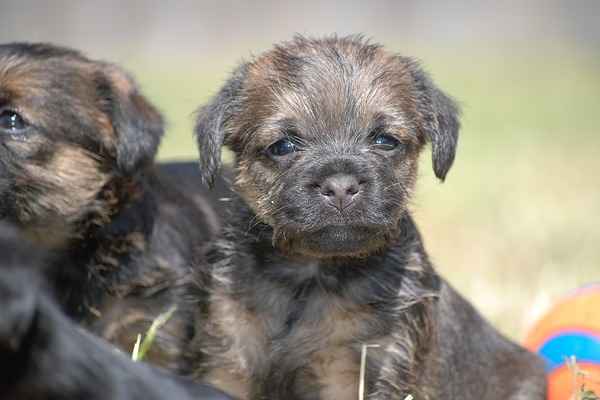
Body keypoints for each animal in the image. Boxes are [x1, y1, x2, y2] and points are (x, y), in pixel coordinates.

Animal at [192, 36, 548, 398]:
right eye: (283, 146)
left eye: (385, 141)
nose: (340, 186)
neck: (309, 276)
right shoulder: (228, 355)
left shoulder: (365, 365)